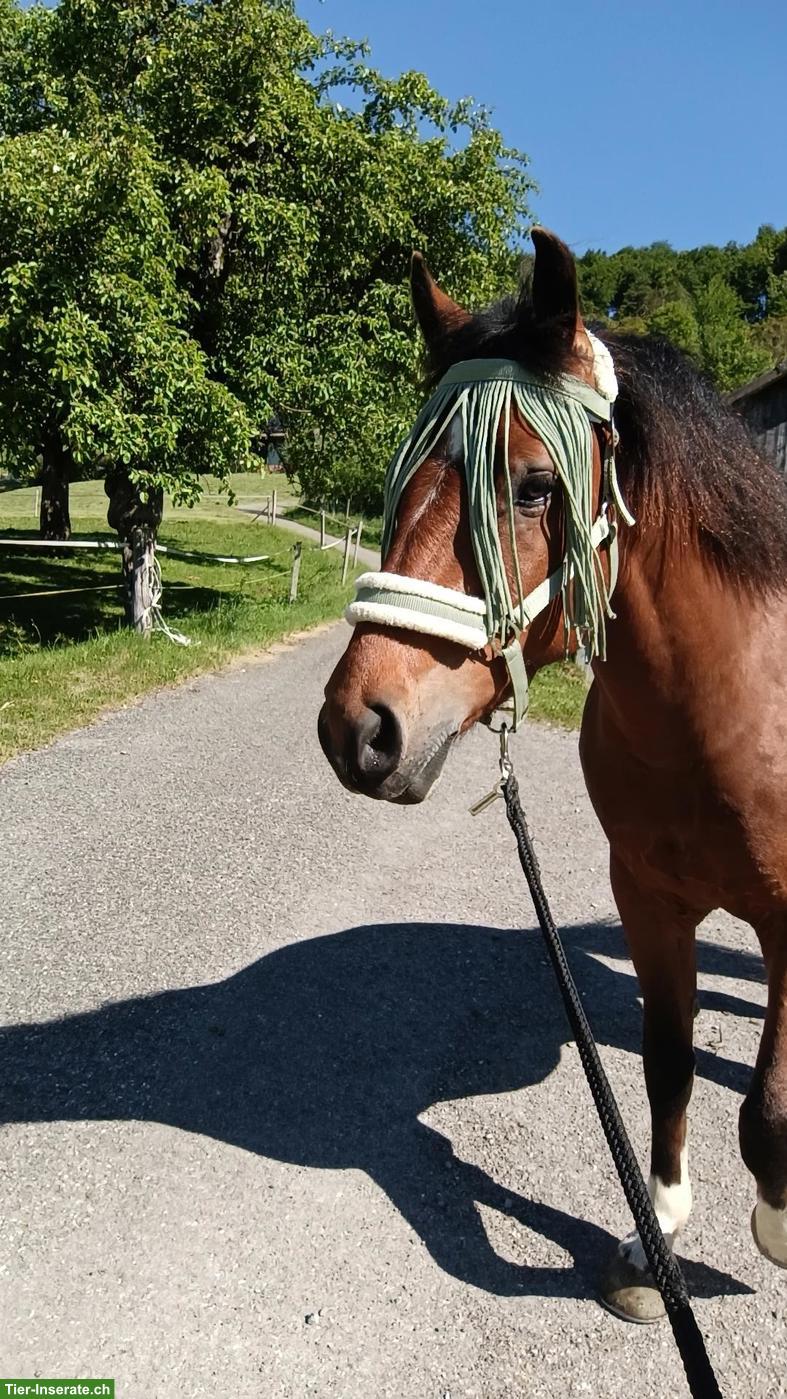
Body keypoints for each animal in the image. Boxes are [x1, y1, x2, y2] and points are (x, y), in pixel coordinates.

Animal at [317, 227, 787, 1322]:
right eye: (402, 476)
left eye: (534, 486)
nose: (360, 727)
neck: (732, 707)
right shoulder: (647, 902)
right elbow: (666, 1068)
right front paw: (653, 1244)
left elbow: (769, 1110)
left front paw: (775, 1221)